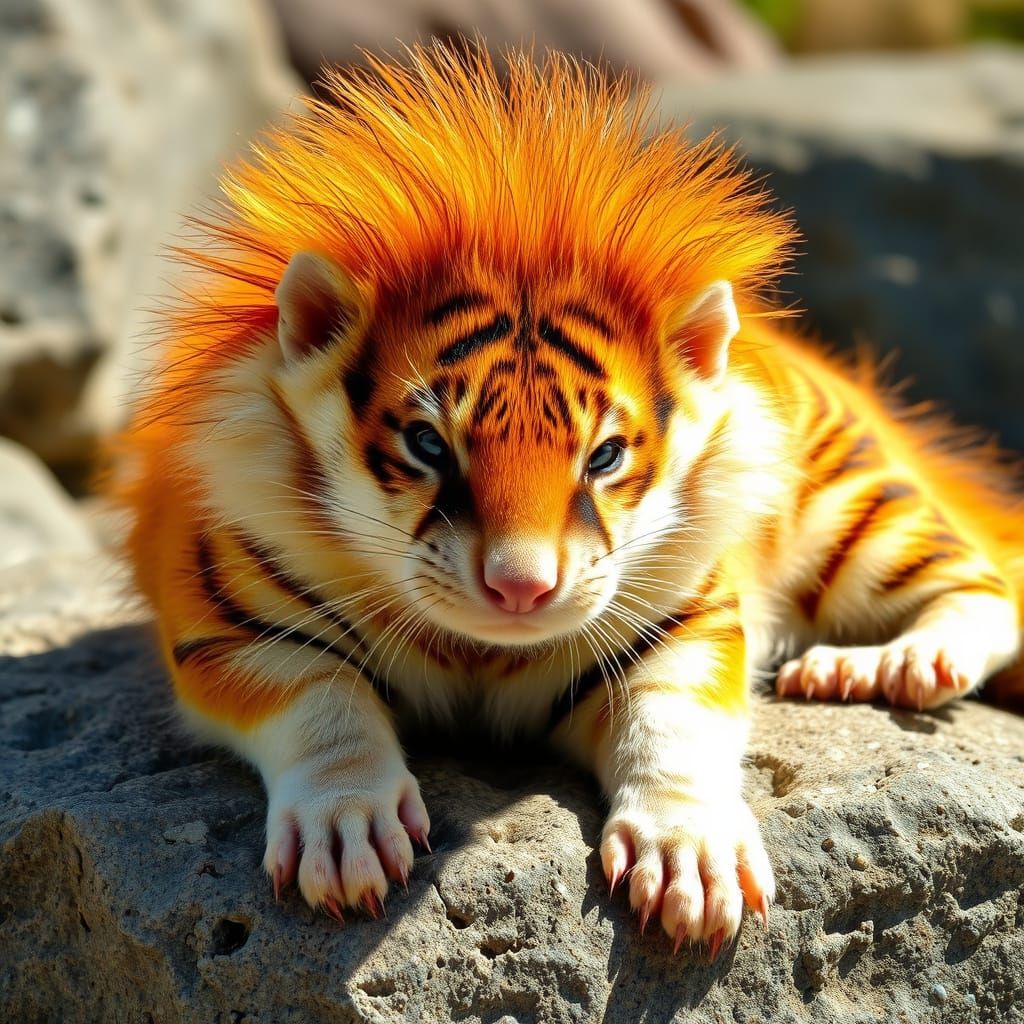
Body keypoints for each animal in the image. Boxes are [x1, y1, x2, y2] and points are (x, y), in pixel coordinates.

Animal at [113, 44, 1024, 956]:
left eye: (605, 457)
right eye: (429, 445)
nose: (521, 589)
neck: (479, 654)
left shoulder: (686, 626)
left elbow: (674, 724)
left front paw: (690, 858)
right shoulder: (232, 623)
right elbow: (324, 703)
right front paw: (347, 833)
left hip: (854, 509)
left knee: (985, 589)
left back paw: (889, 665)